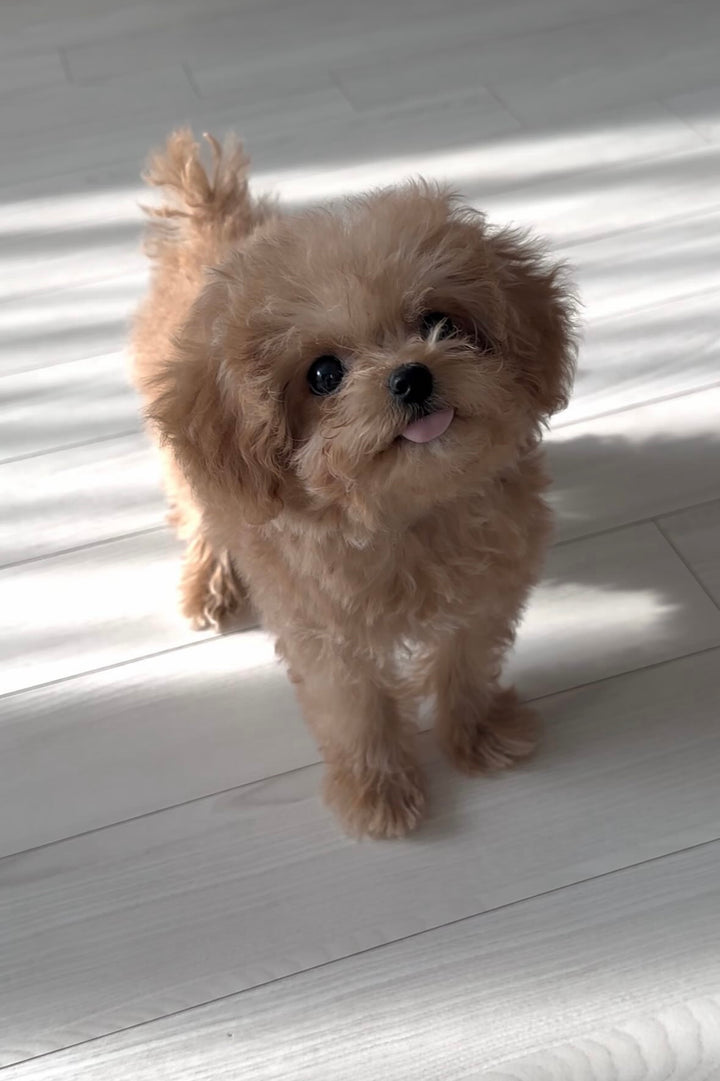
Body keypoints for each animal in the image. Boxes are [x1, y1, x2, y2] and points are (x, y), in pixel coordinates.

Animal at [131, 126, 575, 834]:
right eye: (322, 375)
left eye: (440, 323)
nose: (411, 376)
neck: (406, 515)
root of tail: (211, 221)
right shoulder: (326, 639)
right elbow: (356, 712)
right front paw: (379, 793)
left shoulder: (482, 602)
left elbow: (464, 667)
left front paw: (477, 736)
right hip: (186, 465)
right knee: (200, 515)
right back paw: (208, 582)